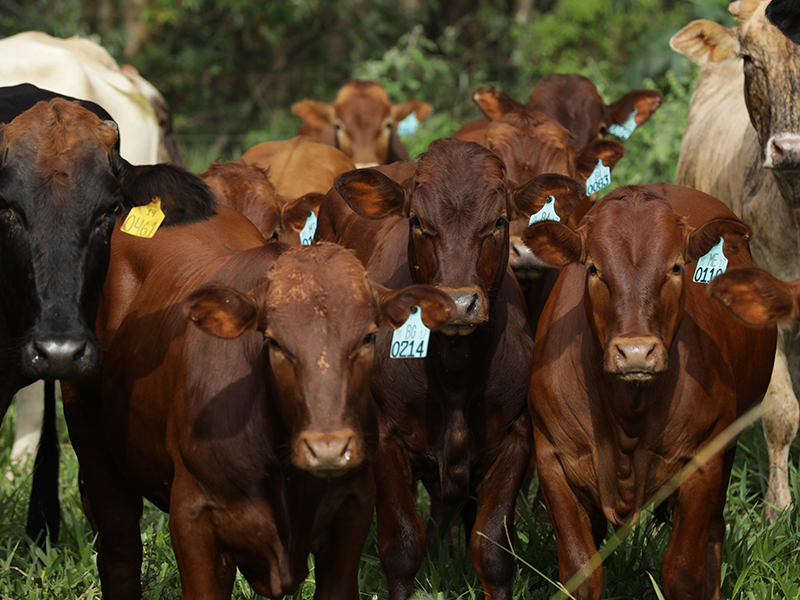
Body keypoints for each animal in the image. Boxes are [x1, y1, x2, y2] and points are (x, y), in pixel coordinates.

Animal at [61, 205, 456, 596]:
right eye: (274, 341)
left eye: (368, 337)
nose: (328, 448)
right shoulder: (192, 520)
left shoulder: (353, 511)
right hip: (90, 436)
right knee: (120, 548)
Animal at [316, 139, 584, 600]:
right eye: (417, 221)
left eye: (498, 222)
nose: (457, 303)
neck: (454, 375)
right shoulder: (385, 438)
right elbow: (402, 547)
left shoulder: (514, 439)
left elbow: (492, 548)